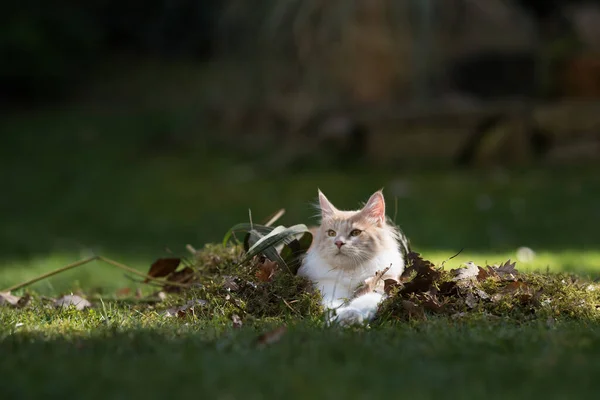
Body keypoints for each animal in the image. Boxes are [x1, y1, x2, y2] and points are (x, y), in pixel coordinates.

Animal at [298, 190, 410, 324]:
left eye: (356, 232)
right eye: (331, 233)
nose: (338, 243)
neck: (351, 271)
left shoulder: (383, 283)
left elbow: (363, 302)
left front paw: (351, 316)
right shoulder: (328, 286)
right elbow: (334, 306)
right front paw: (337, 319)